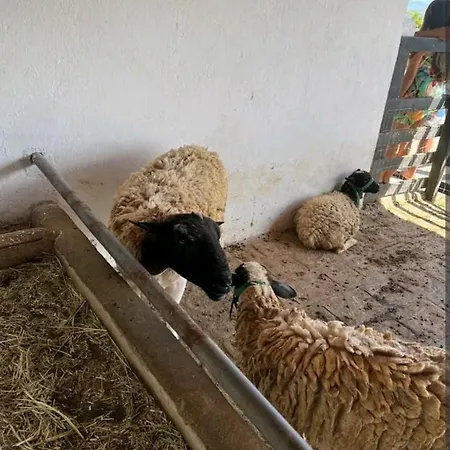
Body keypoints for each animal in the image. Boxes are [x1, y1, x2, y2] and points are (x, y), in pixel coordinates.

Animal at [108, 144, 232, 305]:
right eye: (181, 239)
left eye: (217, 237)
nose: (226, 283)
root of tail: (202, 148)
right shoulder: (130, 280)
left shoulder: (177, 284)